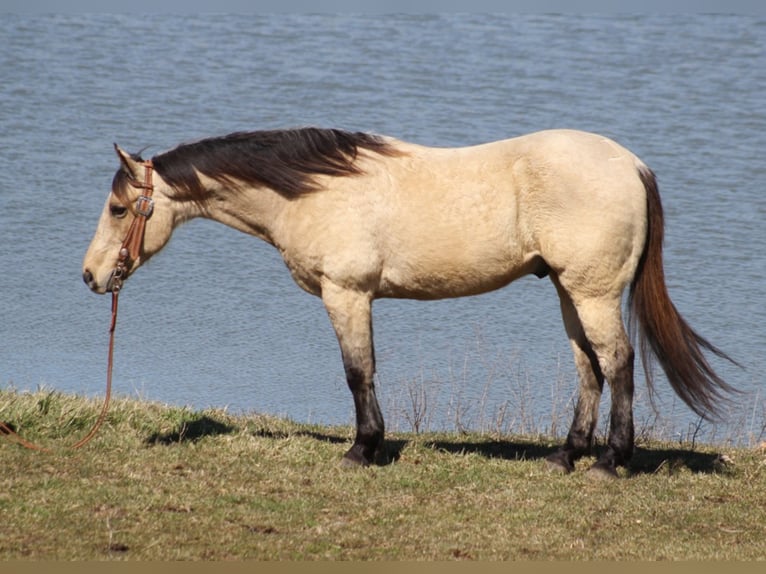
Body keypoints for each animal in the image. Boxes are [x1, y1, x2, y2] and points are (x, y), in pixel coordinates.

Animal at [82, 128, 736, 480]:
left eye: (118, 208)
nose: (91, 276)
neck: (316, 190)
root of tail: (632, 164)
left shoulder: (346, 294)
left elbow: (358, 372)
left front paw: (362, 450)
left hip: (591, 291)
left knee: (618, 363)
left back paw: (608, 462)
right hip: (568, 291)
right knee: (589, 368)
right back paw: (565, 456)